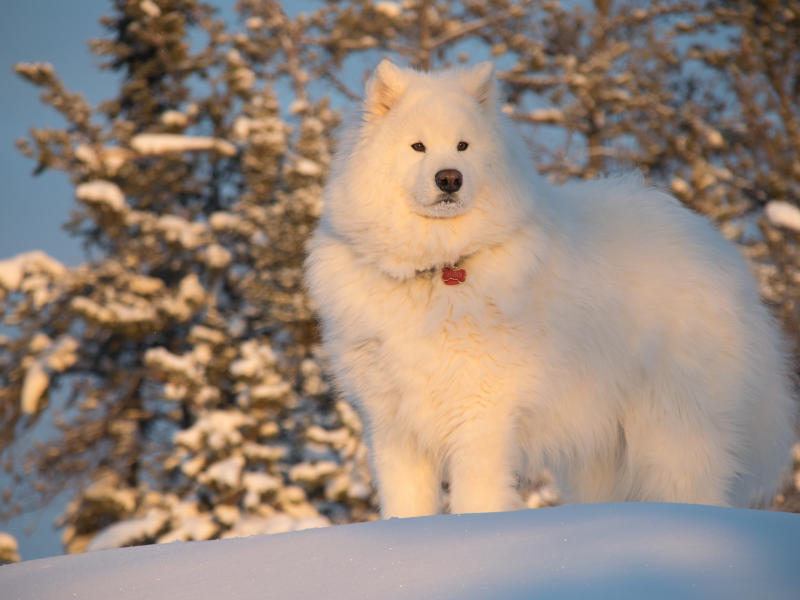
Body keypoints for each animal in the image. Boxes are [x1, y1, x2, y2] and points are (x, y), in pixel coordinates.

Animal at [304, 63, 796, 516]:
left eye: (463, 146)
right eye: (417, 146)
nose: (449, 178)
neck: (438, 269)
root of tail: (718, 246)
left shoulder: (481, 415)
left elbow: (475, 498)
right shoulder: (393, 424)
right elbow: (404, 506)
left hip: (671, 434)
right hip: (601, 450)